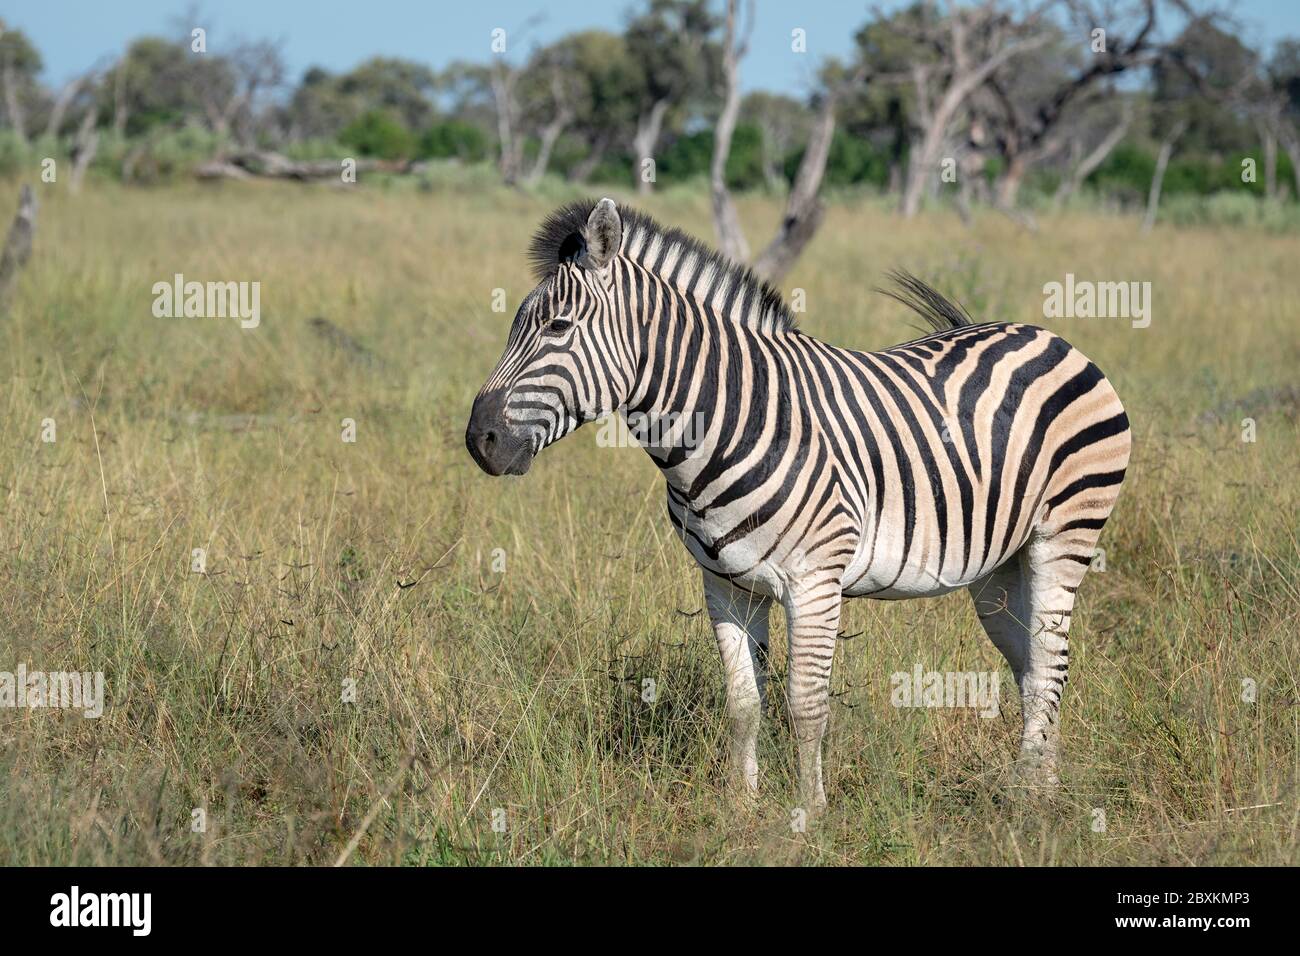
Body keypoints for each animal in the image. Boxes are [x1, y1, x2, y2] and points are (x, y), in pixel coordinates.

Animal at [467, 197, 1128, 811]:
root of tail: (1045, 334)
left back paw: (1033, 805)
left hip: (1063, 535)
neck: (730, 422)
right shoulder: (725, 584)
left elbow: (805, 705)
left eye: (558, 328)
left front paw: (808, 819)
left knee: (1051, 663)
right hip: (999, 567)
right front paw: (742, 808)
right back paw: (1037, 786)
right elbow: (744, 703)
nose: (480, 440)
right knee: (1031, 666)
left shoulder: (815, 581)